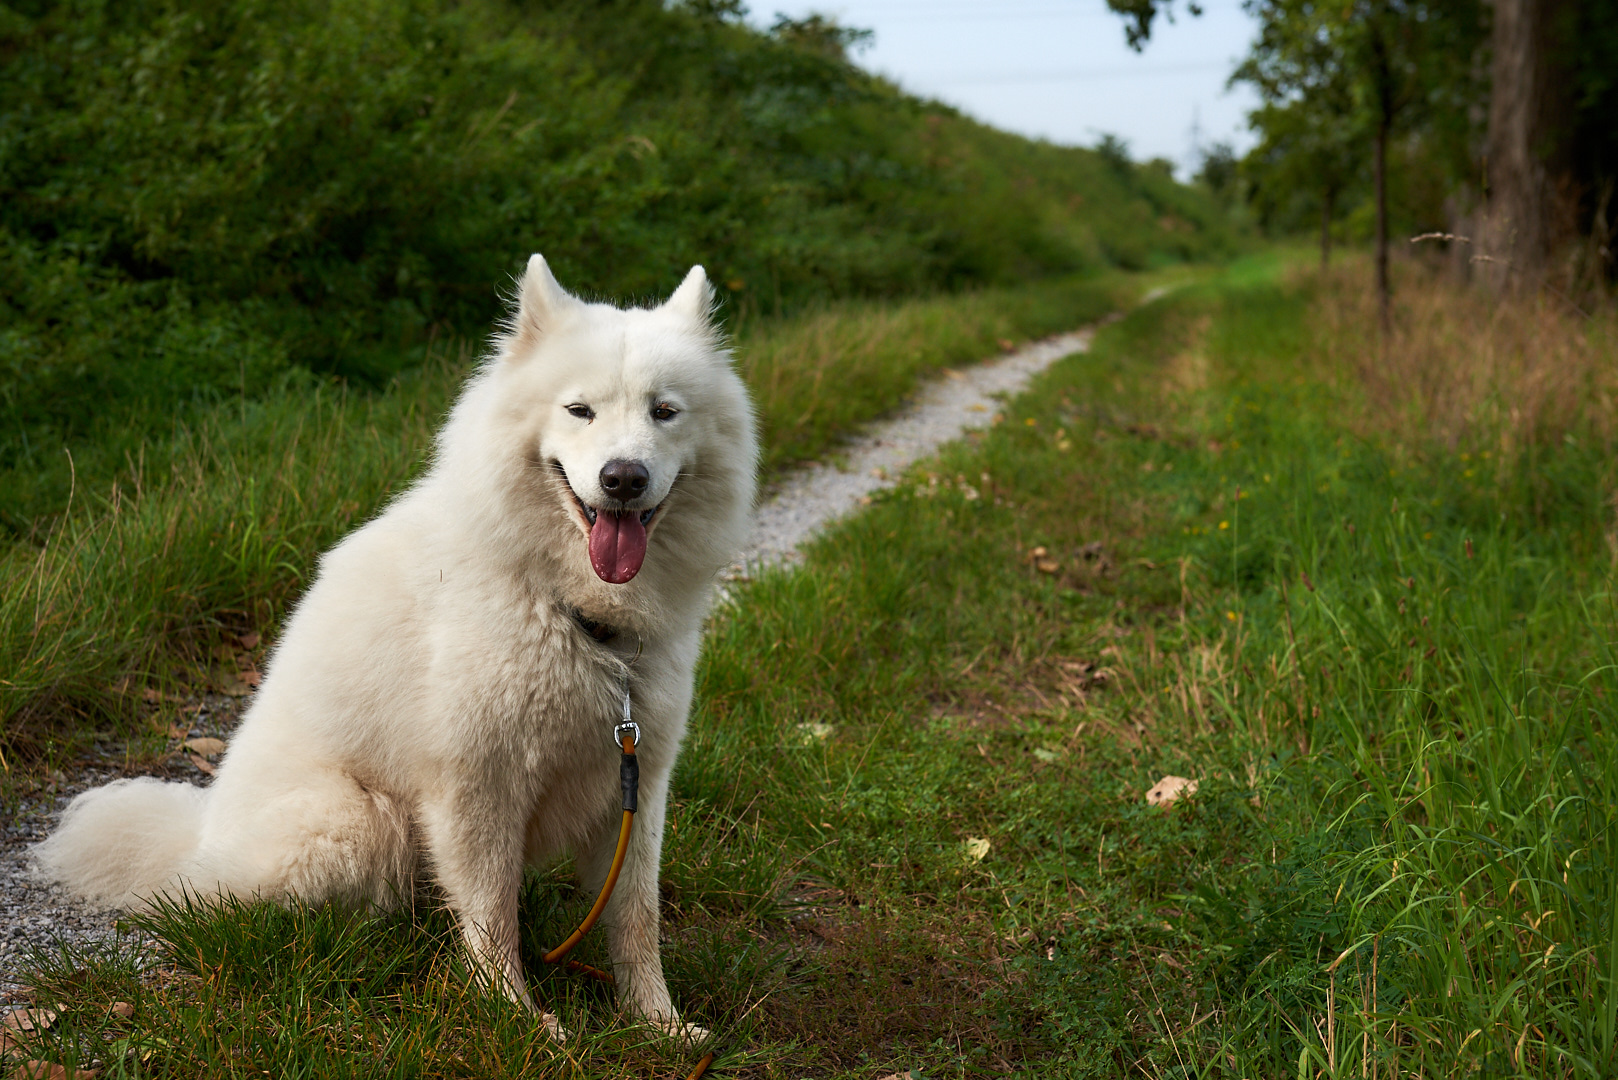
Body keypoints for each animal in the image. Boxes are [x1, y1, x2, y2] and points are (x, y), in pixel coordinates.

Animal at [33, 254, 757, 1036]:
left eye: (664, 411)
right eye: (579, 411)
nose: (623, 478)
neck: (572, 611)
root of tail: (199, 834)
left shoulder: (636, 781)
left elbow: (634, 918)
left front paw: (660, 1025)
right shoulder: (477, 785)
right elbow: (493, 917)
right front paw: (515, 1017)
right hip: (361, 823)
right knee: (233, 905)